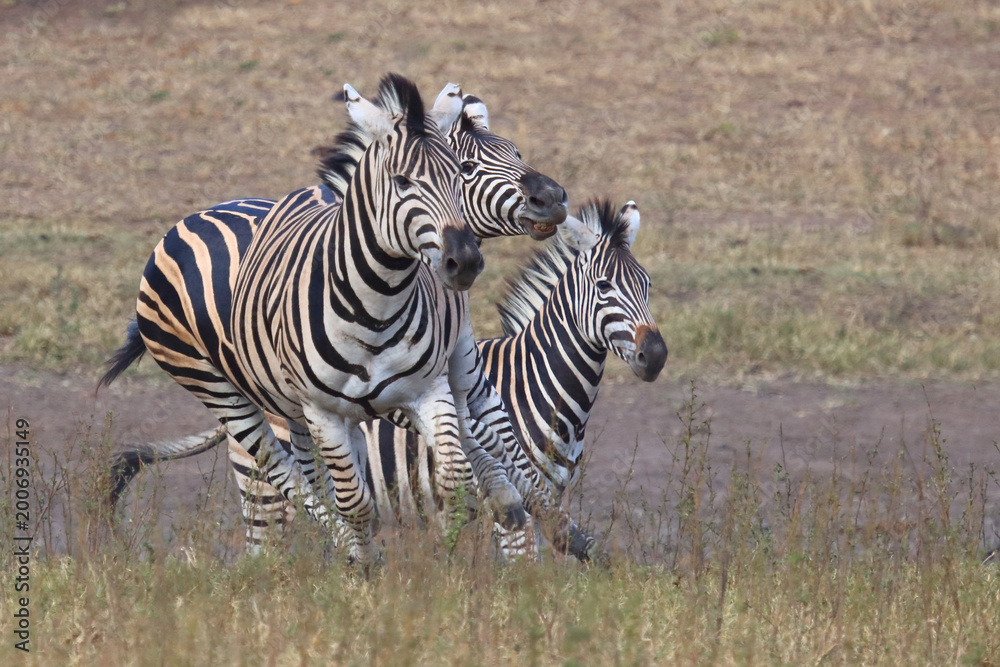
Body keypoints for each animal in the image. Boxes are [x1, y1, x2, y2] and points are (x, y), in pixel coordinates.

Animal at [99, 75, 569, 564]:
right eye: (470, 166)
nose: (553, 199)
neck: (377, 298)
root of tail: (193, 218)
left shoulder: (436, 379)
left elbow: (479, 454)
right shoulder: (346, 406)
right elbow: (369, 495)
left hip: (289, 405)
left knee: (310, 478)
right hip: (220, 391)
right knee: (286, 475)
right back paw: (354, 554)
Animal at [109, 199, 667, 563]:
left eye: (647, 285)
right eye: (604, 286)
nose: (656, 356)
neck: (536, 385)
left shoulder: (541, 495)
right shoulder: (502, 506)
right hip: (261, 491)